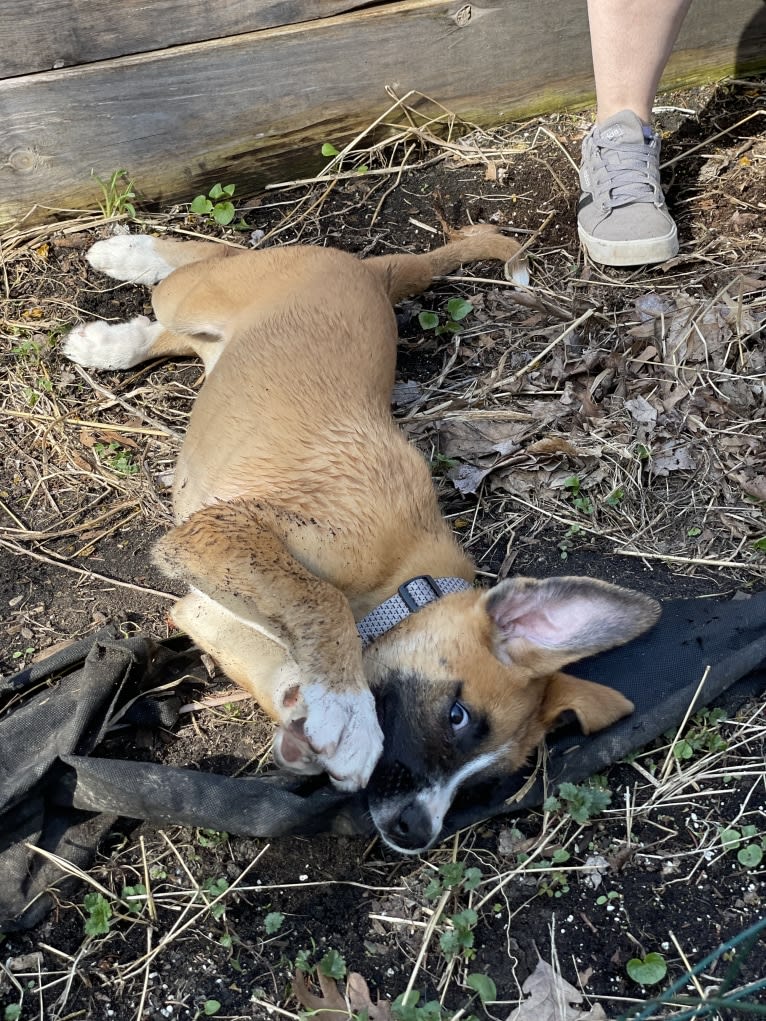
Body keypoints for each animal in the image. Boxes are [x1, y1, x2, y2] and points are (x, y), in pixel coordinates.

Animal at [64, 225, 661, 853]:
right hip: (200, 291)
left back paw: (105, 343)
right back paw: (128, 256)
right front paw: (350, 714)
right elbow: (317, 599)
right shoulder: (225, 531)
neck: (405, 584)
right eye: (458, 716)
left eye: (484, 785)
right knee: (201, 265)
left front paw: (310, 719)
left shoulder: (202, 609)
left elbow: (282, 667)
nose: (417, 832)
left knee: (177, 333)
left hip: (213, 340)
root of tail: (373, 271)